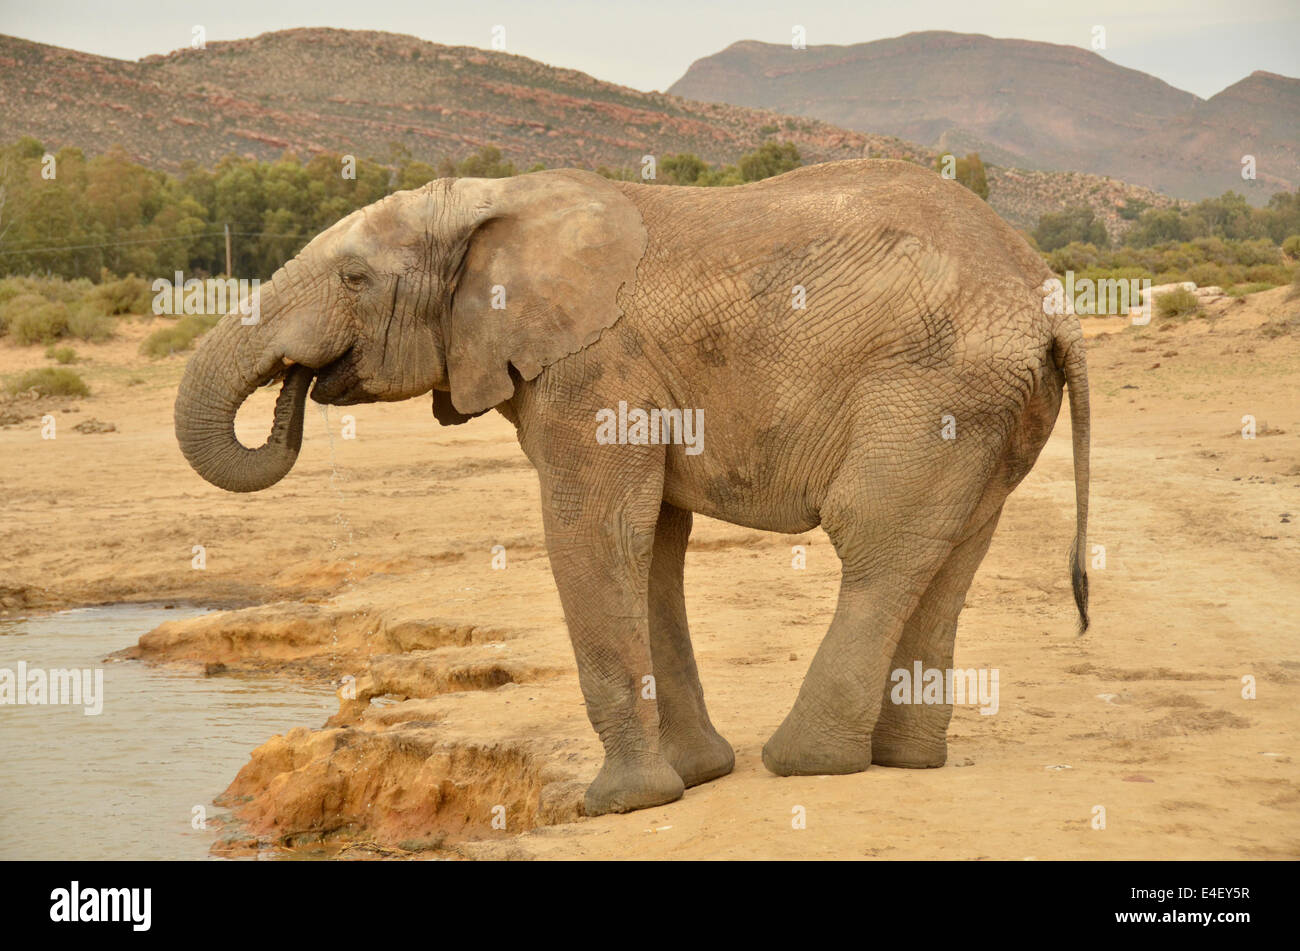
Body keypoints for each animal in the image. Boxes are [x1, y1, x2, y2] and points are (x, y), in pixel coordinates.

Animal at [172, 159, 1086, 815]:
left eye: (356, 280)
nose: (300, 386)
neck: (493, 202)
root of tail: (1049, 297)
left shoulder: (594, 372)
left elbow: (596, 532)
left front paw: (619, 805)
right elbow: (653, 546)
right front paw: (698, 775)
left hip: (931, 389)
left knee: (874, 543)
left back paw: (806, 762)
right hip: (991, 407)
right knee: (950, 556)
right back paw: (901, 759)